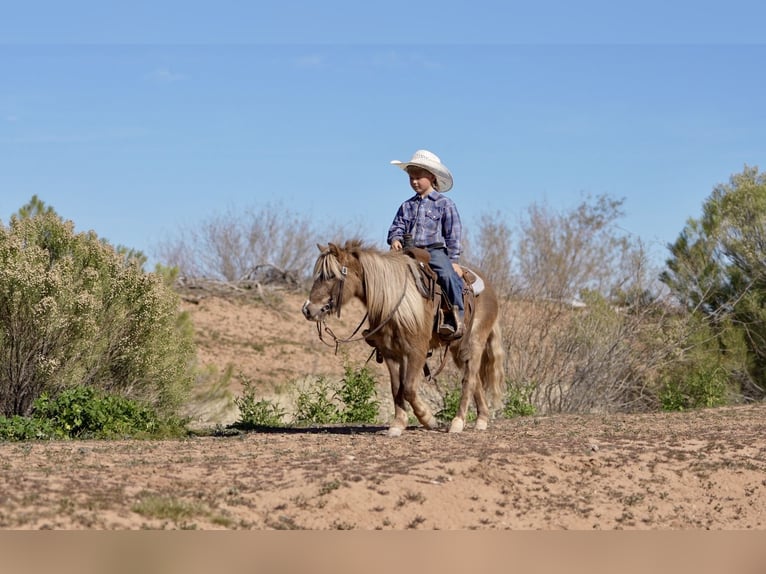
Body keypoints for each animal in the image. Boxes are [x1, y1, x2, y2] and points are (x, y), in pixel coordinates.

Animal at [301, 239, 505, 435]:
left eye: (331, 275)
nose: (308, 309)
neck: (395, 303)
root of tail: (490, 289)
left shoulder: (416, 352)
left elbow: (408, 388)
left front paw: (428, 419)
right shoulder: (391, 353)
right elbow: (396, 388)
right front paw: (398, 424)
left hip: (474, 343)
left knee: (469, 380)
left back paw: (458, 422)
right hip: (458, 349)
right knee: (476, 380)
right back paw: (481, 419)